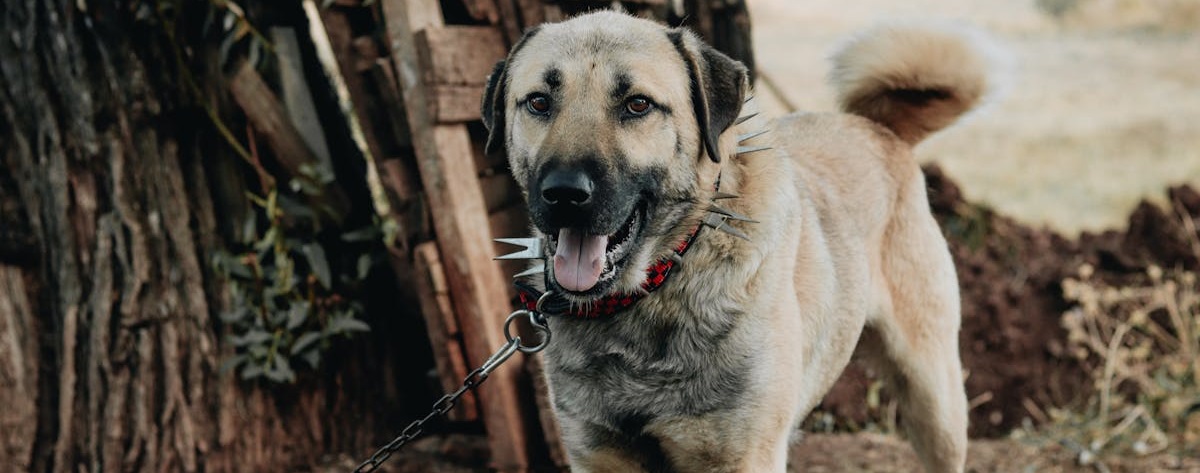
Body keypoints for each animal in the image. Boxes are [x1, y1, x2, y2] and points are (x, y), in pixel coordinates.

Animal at [480, 11, 993, 473]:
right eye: (539, 102)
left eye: (637, 105)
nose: (564, 194)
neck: (658, 285)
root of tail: (877, 128)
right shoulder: (598, 454)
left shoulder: (741, 455)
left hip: (935, 401)